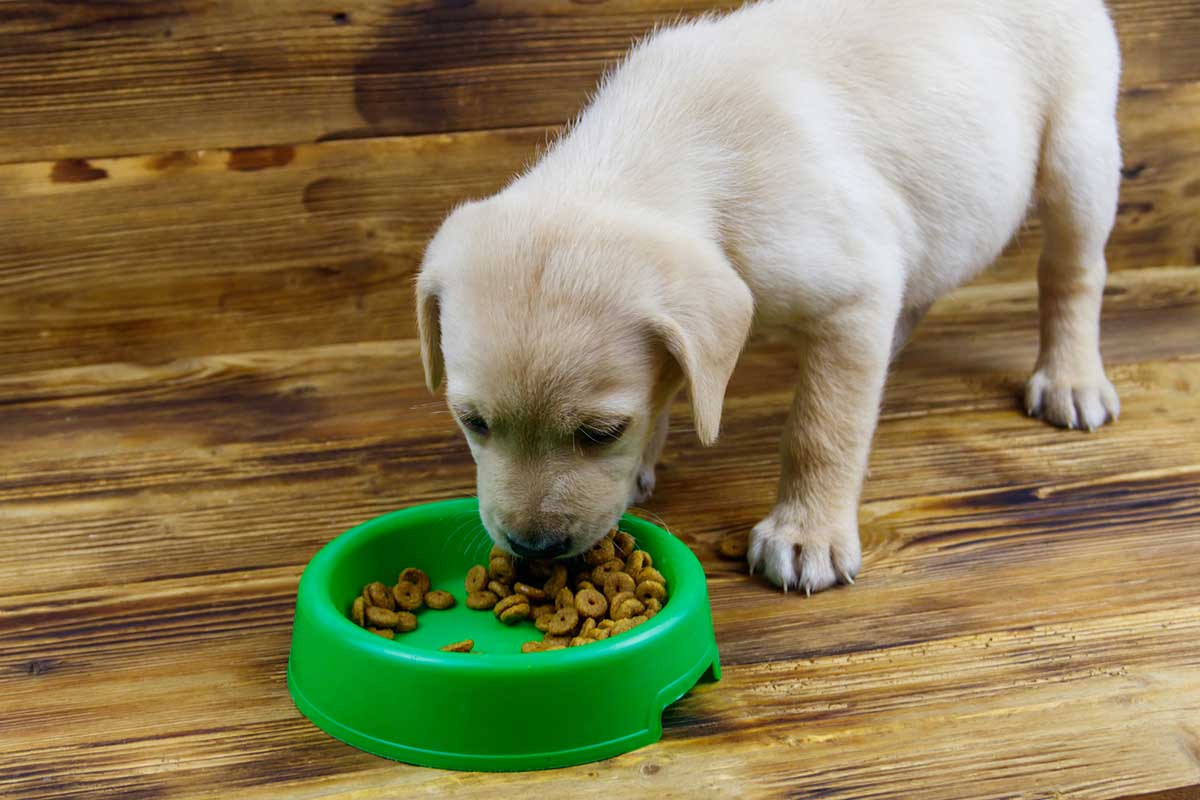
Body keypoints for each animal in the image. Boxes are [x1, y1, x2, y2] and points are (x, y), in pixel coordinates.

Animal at [415, 0, 1123, 592]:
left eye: (600, 432)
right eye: (472, 422)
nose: (533, 547)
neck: (663, 147)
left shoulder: (853, 292)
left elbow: (823, 427)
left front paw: (807, 536)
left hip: (1078, 151)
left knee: (1072, 272)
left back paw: (1071, 379)